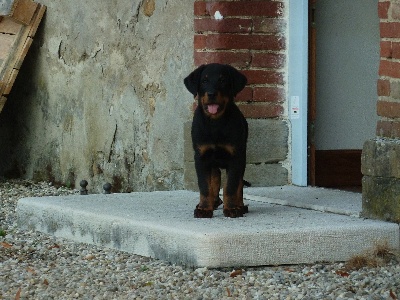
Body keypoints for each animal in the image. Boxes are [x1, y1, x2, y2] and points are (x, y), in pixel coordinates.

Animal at [185, 63, 248, 218]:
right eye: (204, 81)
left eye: (222, 80)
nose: (211, 94)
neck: (215, 123)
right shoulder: (201, 157)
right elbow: (205, 186)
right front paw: (204, 209)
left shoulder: (235, 157)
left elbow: (230, 186)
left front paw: (232, 208)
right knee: (215, 179)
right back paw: (213, 203)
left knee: (239, 184)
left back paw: (240, 206)